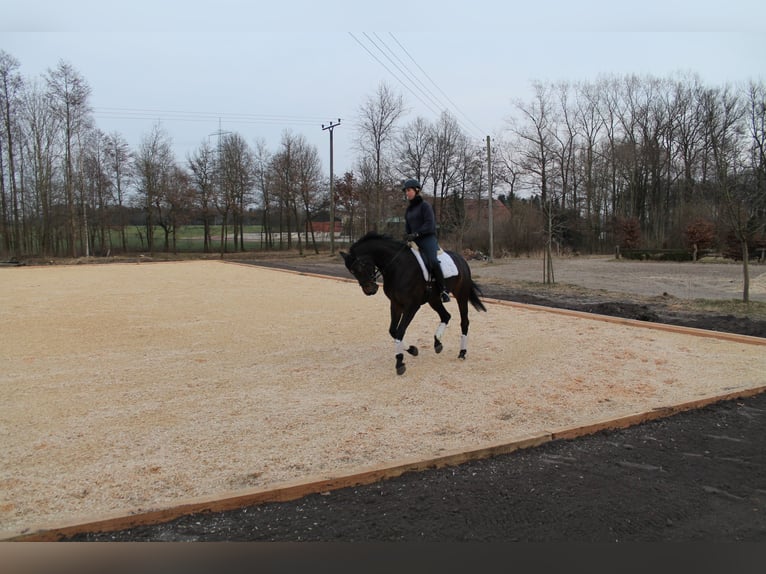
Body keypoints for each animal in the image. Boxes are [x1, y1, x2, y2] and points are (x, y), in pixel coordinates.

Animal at [340, 232, 486, 376]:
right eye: (352, 271)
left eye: (361, 266)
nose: (370, 290)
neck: (397, 267)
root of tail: (461, 259)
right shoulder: (396, 304)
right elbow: (393, 331)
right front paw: (412, 350)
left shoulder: (412, 306)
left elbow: (400, 331)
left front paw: (399, 362)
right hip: (433, 299)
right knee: (446, 316)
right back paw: (437, 342)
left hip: (461, 295)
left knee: (464, 321)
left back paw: (462, 352)